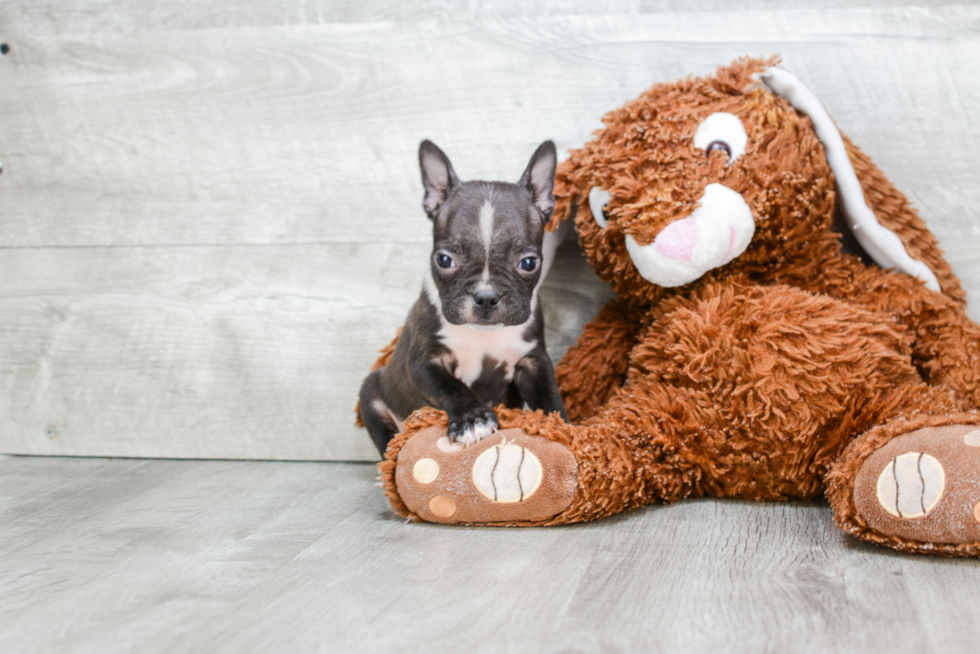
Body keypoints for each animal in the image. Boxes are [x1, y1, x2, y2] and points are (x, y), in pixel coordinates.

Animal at [360, 140, 572, 456]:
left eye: (529, 263)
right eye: (444, 260)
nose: (486, 296)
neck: (483, 336)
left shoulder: (532, 361)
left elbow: (549, 397)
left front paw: (563, 429)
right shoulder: (425, 360)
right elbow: (451, 387)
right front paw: (474, 420)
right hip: (371, 390)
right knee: (386, 441)